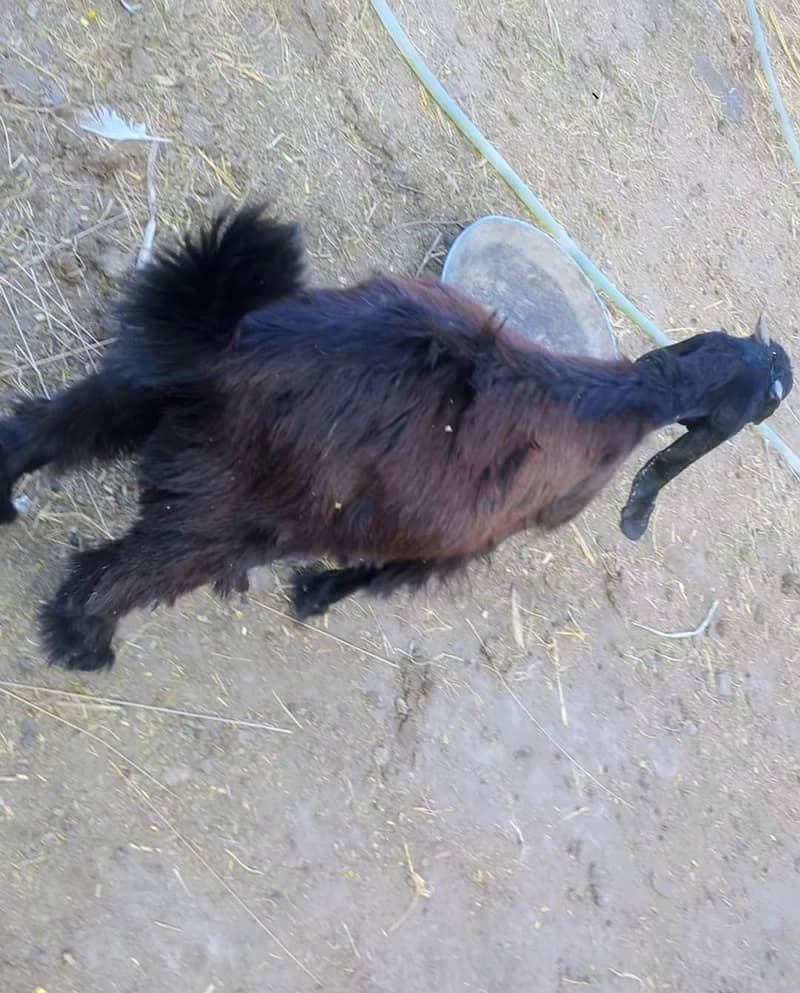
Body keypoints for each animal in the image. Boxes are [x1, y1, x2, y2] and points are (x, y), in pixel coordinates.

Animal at [0, 205, 792, 671]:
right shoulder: (469, 537)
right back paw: (83, 643)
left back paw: (9, 506)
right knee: (118, 571)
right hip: (227, 510)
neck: (625, 401)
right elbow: (387, 572)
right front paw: (316, 594)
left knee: (40, 429)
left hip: (134, 390)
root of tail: (234, 343)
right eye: (768, 399)